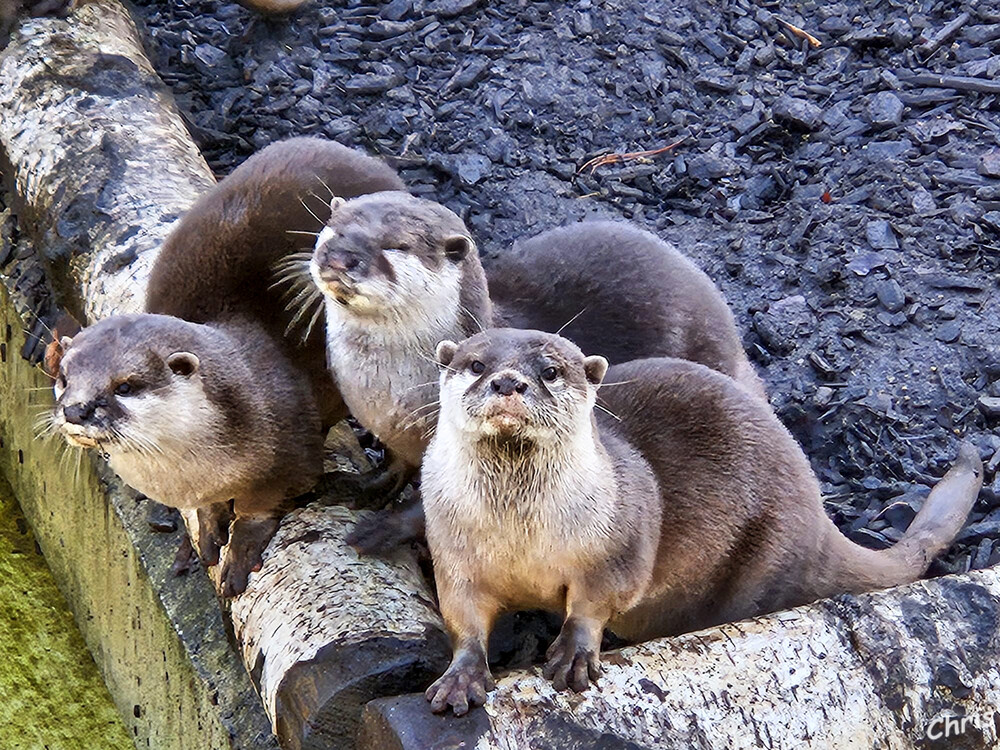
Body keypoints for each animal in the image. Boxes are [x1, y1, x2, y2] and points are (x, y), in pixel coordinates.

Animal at [51, 135, 406, 596]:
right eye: (63, 377)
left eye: (124, 386)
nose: (75, 409)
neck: (194, 472)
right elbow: (208, 508)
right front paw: (207, 526)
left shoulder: (289, 452)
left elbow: (264, 501)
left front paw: (240, 549)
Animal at [418, 328, 980, 716]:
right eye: (475, 364)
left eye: (550, 370)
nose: (507, 381)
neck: (522, 536)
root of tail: (817, 516)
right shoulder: (452, 552)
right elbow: (462, 614)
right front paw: (462, 676)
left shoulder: (621, 539)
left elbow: (599, 598)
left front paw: (575, 652)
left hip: (764, 557)